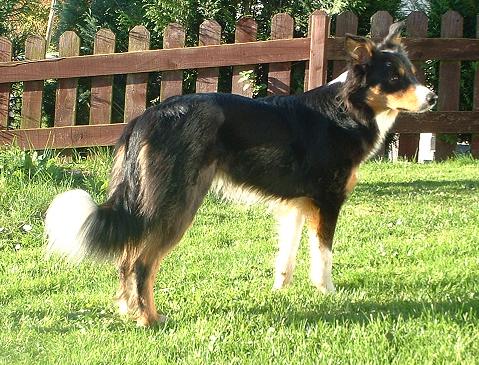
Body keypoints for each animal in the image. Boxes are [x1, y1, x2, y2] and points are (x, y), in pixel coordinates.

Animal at [46, 21, 438, 326]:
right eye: (394, 77)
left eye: (411, 73)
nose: (432, 98)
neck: (346, 109)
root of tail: (146, 116)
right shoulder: (328, 201)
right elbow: (323, 255)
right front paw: (328, 292)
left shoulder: (297, 205)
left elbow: (287, 255)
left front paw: (281, 289)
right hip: (177, 205)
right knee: (142, 262)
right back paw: (149, 318)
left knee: (127, 259)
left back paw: (129, 310)